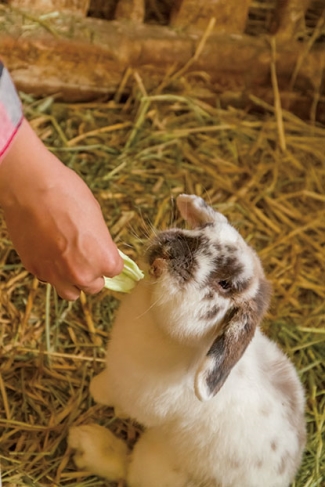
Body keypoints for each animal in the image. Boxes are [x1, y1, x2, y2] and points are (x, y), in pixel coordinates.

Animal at [67, 194, 304, 487]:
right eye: (202, 230)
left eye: (225, 284)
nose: (171, 246)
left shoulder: (131, 395)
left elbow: (113, 395)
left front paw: (95, 391)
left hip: (151, 463)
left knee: (127, 470)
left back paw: (87, 443)